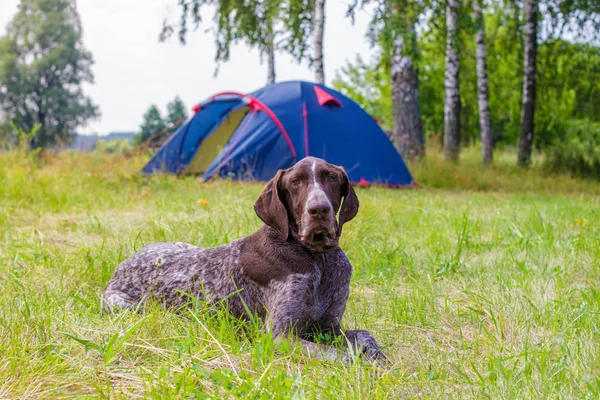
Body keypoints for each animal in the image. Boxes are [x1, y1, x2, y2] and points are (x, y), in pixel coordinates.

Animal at [102, 156, 384, 362]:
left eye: (331, 178)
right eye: (295, 182)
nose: (319, 210)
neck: (317, 258)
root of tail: (121, 266)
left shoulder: (327, 328)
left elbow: (365, 336)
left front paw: (378, 356)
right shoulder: (280, 335)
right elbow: (344, 356)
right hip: (127, 305)